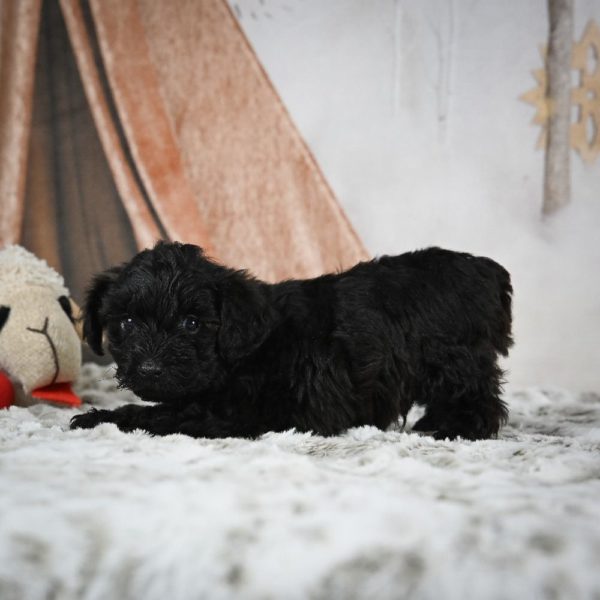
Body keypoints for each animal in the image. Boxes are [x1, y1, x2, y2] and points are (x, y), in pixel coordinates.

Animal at [69, 243, 510, 440]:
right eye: (126, 322)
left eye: (192, 324)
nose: (150, 368)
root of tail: (487, 270)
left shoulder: (241, 412)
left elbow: (162, 415)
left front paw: (99, 417)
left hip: (453, 359)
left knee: (478, 398)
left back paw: (453, 427)